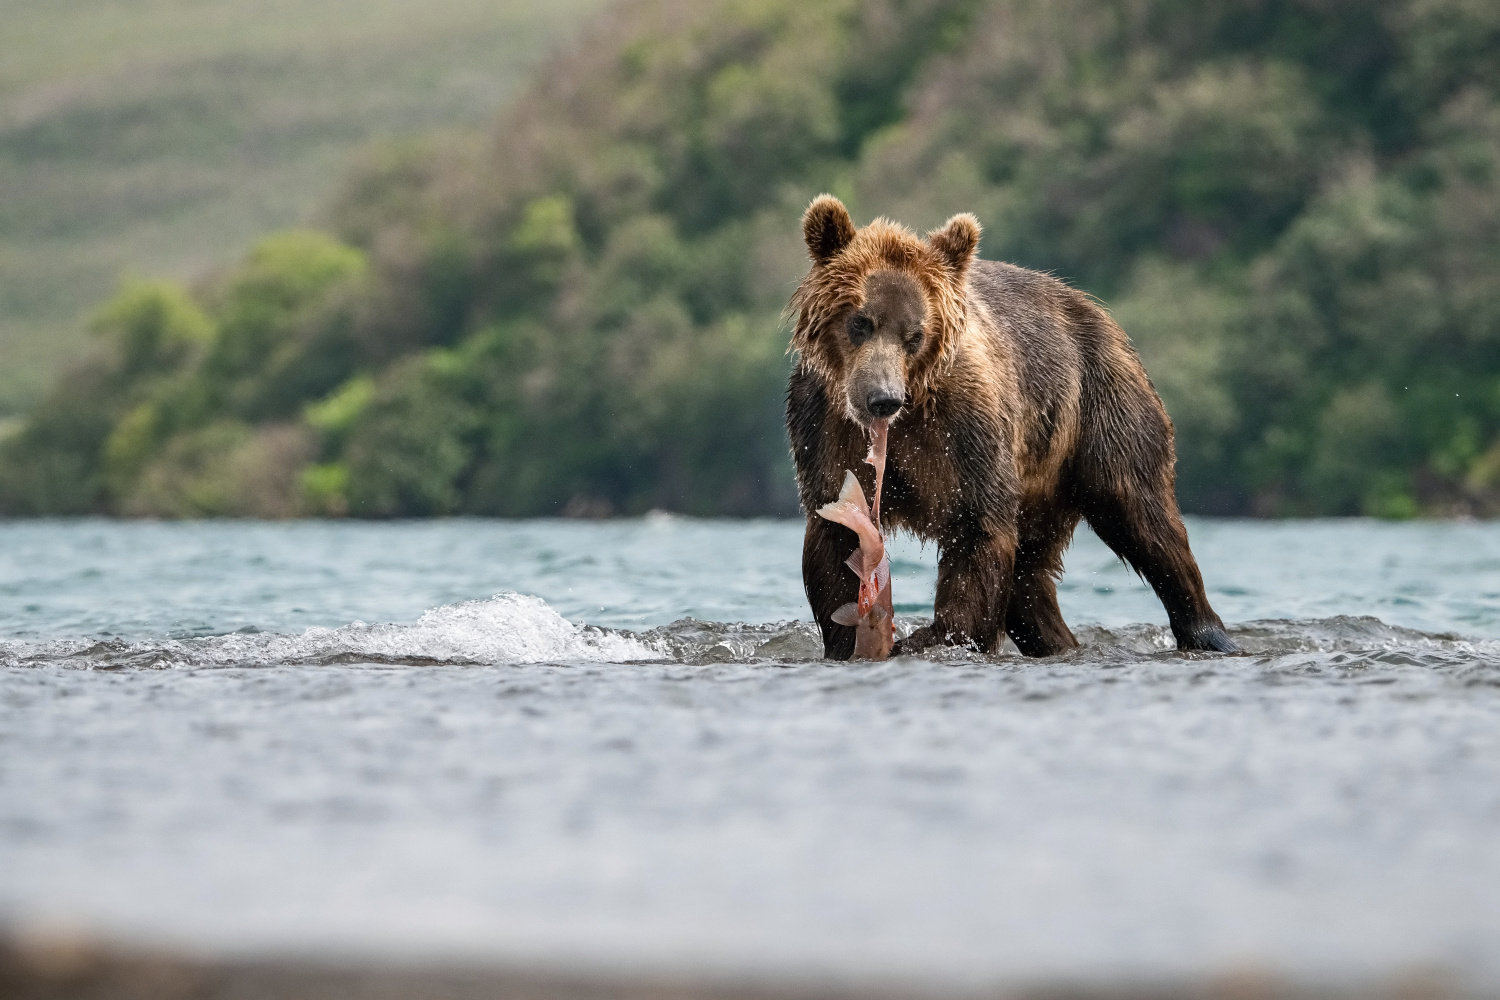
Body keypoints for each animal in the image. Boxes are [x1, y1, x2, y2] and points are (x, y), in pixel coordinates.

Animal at [780, 197, 1236, 665]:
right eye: (860, 322)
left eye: (915, 335)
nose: (883, 398)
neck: (909, 413)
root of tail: (1097, 311)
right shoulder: (823, 427)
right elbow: (835, 532)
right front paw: (848, 639)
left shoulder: (965, 430)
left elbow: (977, 525)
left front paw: (940, 637)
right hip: (1042, 481)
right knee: (1030, 578)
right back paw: (1059, 641)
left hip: (1101, 407)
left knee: (1144, 515)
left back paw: (1209, 631)